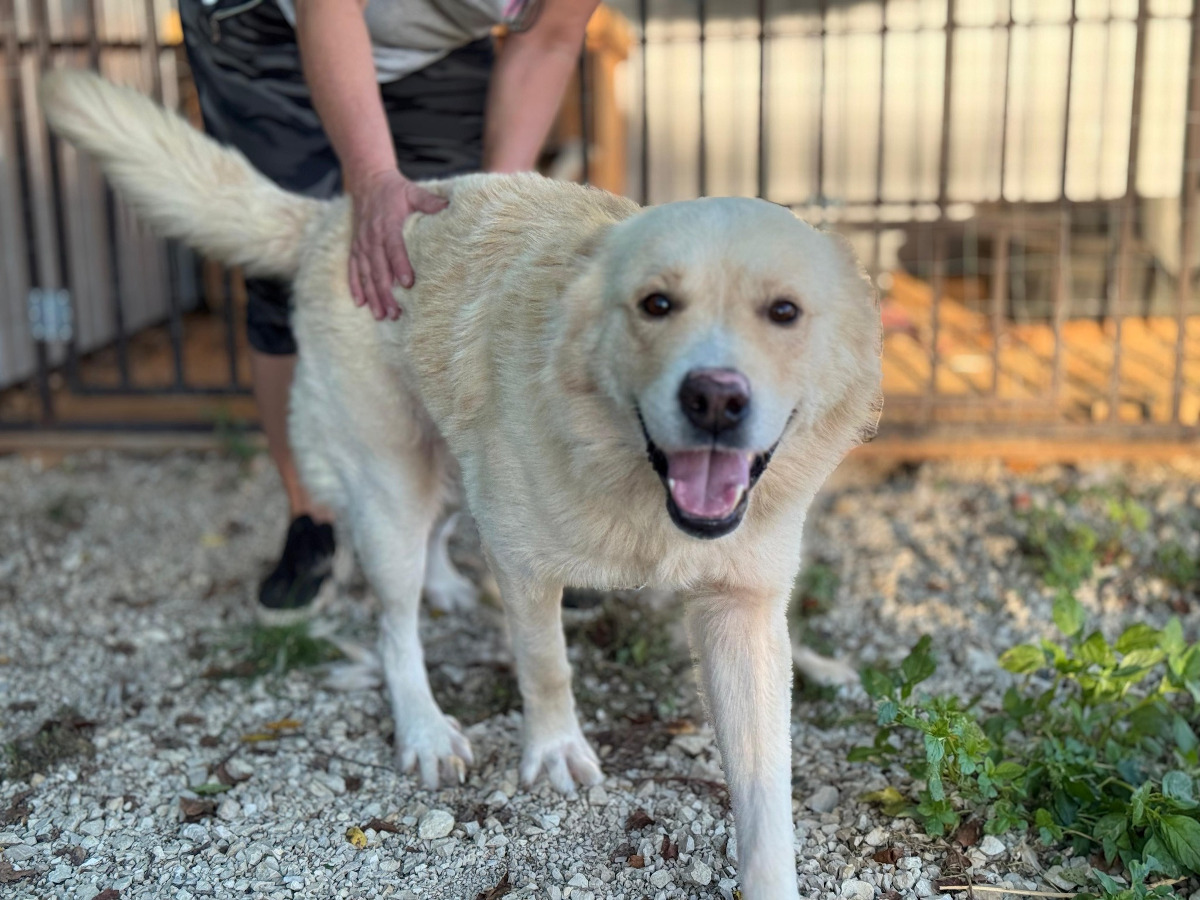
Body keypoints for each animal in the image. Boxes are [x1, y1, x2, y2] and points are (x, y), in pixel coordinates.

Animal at [42, 69, 882, 899]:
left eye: (784, 311)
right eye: (656, 304)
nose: (713, 399)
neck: (636, 481)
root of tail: (337, 216)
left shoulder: (743, 610)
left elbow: (765, 784)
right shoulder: (528, 567)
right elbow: (544, 666)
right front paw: (553, 751)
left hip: (450, 463)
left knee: (444, 533)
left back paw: (448, 585)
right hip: (391, 489)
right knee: (393, 627)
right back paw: (423, 725)